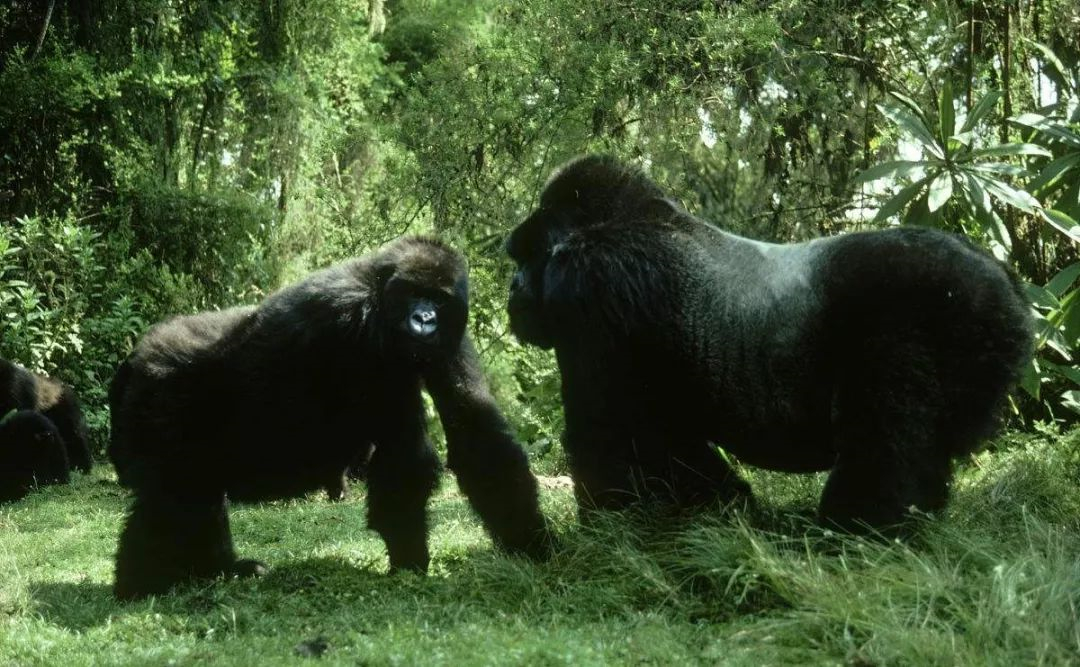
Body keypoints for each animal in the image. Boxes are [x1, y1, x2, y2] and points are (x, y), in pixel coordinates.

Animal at [109, 235, 552, 595]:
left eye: (439, 300)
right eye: (413, 293)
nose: (424, 320)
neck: (377, 289)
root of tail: (138, 352)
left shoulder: (451, 334)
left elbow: (475, 429)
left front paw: (534, 545)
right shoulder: (353, 324)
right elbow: (406, 454)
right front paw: (409, 562)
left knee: (195, 494)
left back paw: (217, 570)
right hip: (162, 395)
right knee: (175, 494)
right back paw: (142, 586)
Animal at [503, 154, 1028, 528]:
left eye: (524, 256)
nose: (512, 289)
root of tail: (1005, 284)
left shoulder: (590, 285)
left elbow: (605, 435)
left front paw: (608, 540)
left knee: (885, 444)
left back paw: (858, 534)